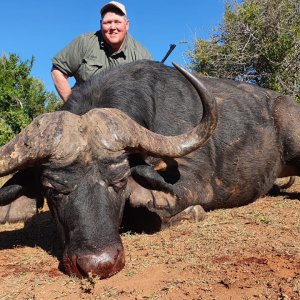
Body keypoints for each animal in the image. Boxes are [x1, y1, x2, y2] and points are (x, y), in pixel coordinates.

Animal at [0, 60, 298, 278]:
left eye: (120, 181)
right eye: (52, 190)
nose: (99, 263)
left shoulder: (194, 183)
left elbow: (151, 213)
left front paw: (192, 213)